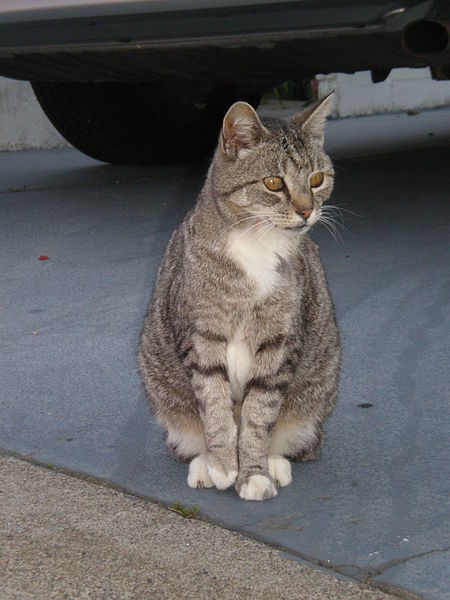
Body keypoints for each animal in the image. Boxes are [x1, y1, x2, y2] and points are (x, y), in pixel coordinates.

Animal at [139, 91, 340, 500]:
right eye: (274, 182)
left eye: (316, 179)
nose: (307, 211)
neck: (256, 243)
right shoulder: (200, 336)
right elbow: (213, 404)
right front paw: (222, 464)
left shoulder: (279, 341)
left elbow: (259, 414)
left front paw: (254, 472)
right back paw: (203, 463)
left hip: (317, 388)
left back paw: (274, 462)